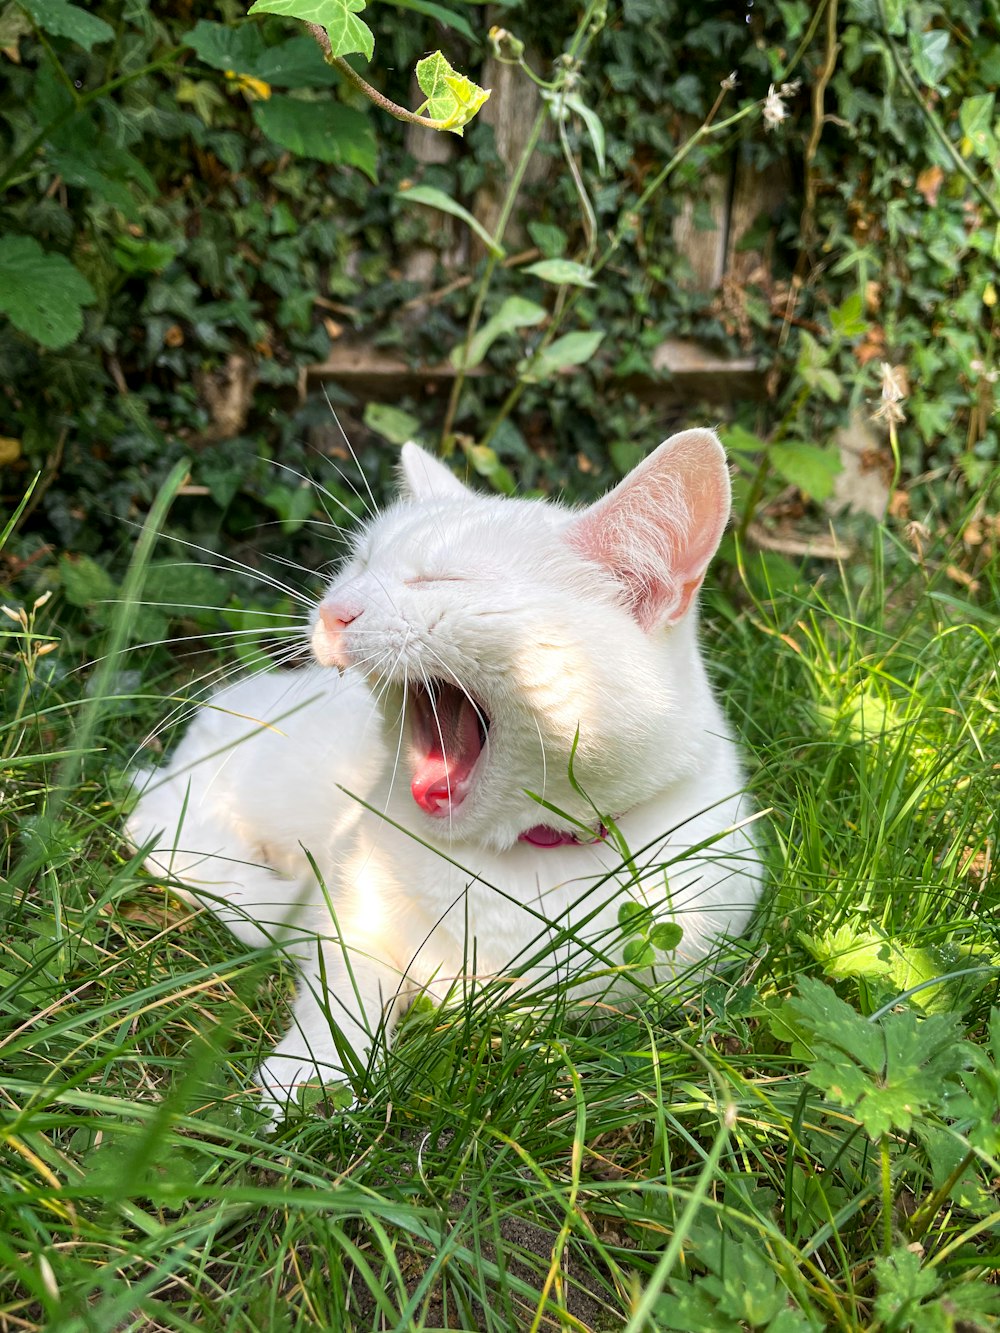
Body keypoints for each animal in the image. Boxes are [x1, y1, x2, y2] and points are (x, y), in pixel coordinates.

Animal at [129, 429, 762, 1114]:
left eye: (441, 579)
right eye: (360, 565)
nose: (333, 612)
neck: (517, 858)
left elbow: (548, 1024)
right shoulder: (353, 918)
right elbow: (340, 994)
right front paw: (312, 1077)